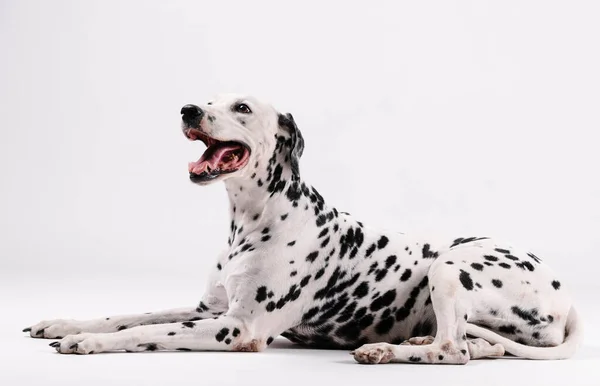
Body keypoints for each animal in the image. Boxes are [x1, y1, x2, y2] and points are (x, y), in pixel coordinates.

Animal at [22, 94, 580, 364]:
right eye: (208, 98)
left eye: (242, 107)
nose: (187, 109)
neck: (252, 220)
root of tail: (565, 293)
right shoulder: (208, 308)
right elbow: (130, 315)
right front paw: (66, 324)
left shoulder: (235, 328)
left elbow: (147, 333)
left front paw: (85, 344)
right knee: (477, 344)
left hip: (449, 264)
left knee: (455, 350)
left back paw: (385, 351)